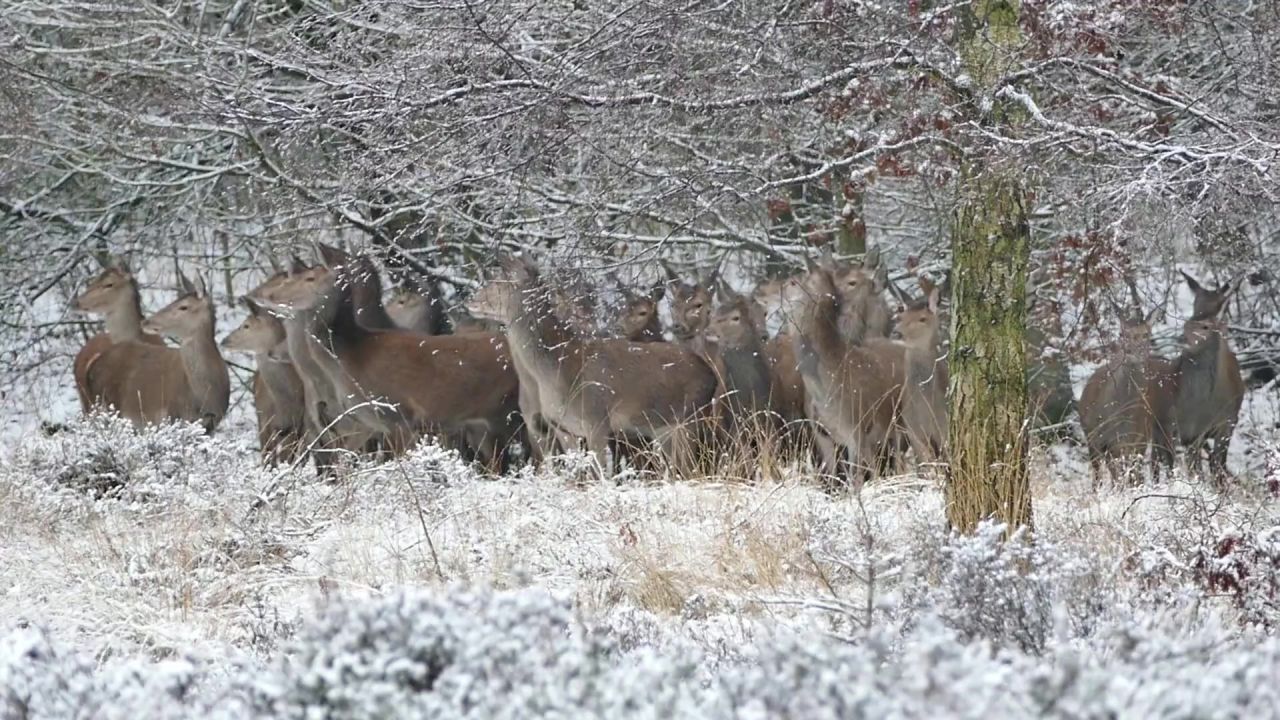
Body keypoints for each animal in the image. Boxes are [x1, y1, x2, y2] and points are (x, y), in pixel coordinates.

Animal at [85, 271, 230, 434]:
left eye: (184, 307)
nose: (146, 321)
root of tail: (92, 365)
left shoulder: (212, 423)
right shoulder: (171, 416)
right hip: (106, 405)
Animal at [468, 254, 719, 481]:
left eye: (500, 281)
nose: (471, 300)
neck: (559, 369)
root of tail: (711, 376)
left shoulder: (597, 419)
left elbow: (599, 477)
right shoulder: (562, 428)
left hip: (690, 419)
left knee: (692, 470)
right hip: (663, 428)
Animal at [1079, 279, 1177, 487]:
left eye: (1146, 334)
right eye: (1122, 333)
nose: (1131, 352)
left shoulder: (1137, 440)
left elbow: (1133, 477)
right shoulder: (1103, 438)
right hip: (1092, 436)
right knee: (1100, 474)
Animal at [1173, 271, 1244, 484]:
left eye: (1205, 327)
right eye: (1186, 323)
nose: (1181, 339)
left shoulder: (1228, 424)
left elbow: (1217, 468)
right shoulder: (1189, 430)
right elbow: (1196, 469)